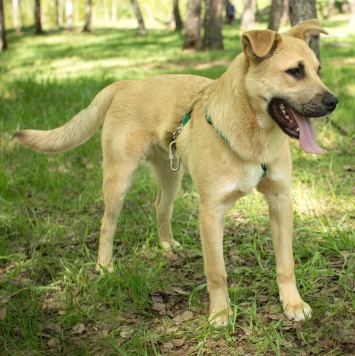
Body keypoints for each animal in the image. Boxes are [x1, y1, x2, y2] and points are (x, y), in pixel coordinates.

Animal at [11, 19, 340, 326]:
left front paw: (293, 304)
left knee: (161, 206)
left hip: (171, 176)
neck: (253, 139)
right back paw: (104, 266)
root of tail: (125, 83)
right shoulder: (211, 210)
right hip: (119, 179)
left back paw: (167, 245)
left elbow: (286, 264)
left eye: (318, 70)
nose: (333, 102)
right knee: (107, 224)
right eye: (295, 72)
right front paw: (220, 313)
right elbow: (216, 271)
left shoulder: (281, 201)